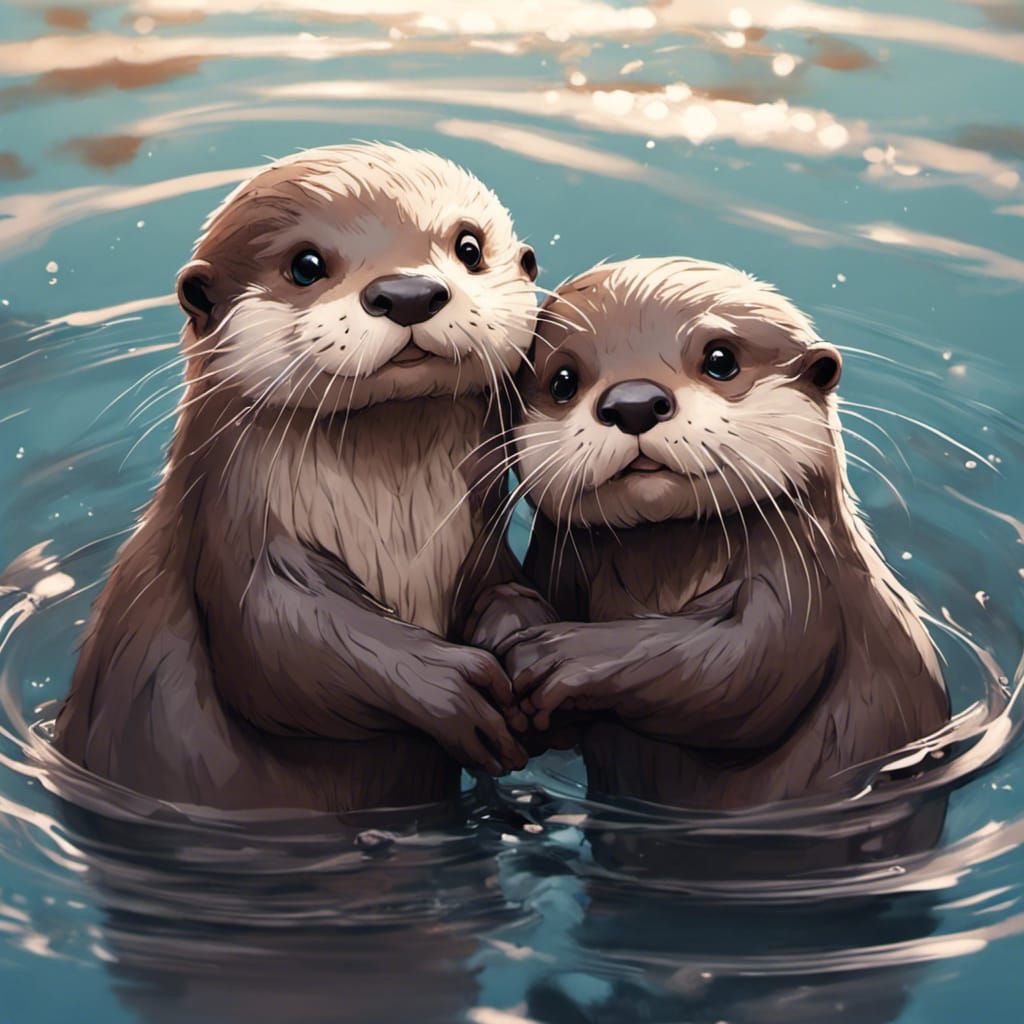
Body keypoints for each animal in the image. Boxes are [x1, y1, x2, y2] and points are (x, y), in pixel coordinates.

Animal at [54, 143, 548, 812]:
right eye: (306, 264)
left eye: (469, 245)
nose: (409, 292)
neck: (399, 521)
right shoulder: (234, 532)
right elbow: (279, 641)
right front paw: (452, 686)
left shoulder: (479, 534)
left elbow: (507, 587)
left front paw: (517, 641)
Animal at [472, 258, 950, 809]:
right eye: (563, 381)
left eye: (720, 359)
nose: (634, 402)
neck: (661, 578)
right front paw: (502, 623)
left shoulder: (807, 588)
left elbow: (740, 671)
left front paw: (555, 657)